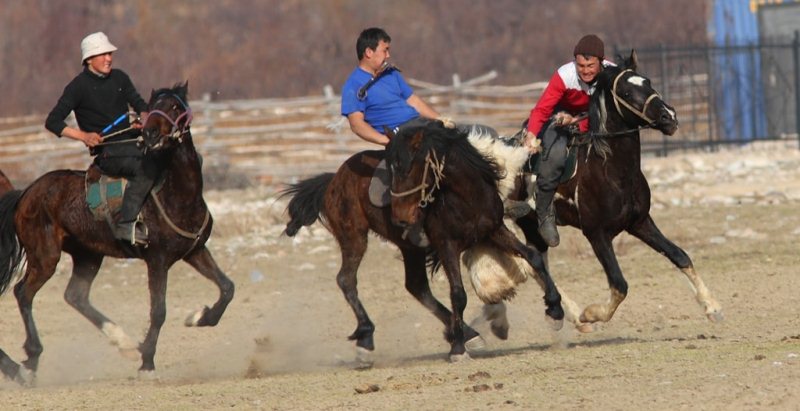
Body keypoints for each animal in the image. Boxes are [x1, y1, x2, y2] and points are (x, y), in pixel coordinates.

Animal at [0, 83, 234, 386]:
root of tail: (25, 194)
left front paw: (198, 317)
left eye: (174, 107)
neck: (179, 194)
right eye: (153, 106)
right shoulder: (157, 260)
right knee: (23, 293)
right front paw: (147, 364)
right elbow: (158, 311)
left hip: (88, 255)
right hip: (45, 256)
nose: (150, 134)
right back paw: (29, 361)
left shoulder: (194, 251)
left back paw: (124, 343)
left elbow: (227, 288)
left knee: (75, 296)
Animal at [286, 121, 564, 364]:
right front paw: (458, 349)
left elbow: (533, 257)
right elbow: (458, 293)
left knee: (416, 286)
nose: (399, 216)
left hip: (410, 248)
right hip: (353, 236)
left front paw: (555, 311)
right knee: (347, 279)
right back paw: (366, 339)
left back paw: (466, 333)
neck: (466, 198)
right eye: (392, 168)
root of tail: (334, 179)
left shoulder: (493, 231)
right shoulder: (446, 245)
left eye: (410, 167)